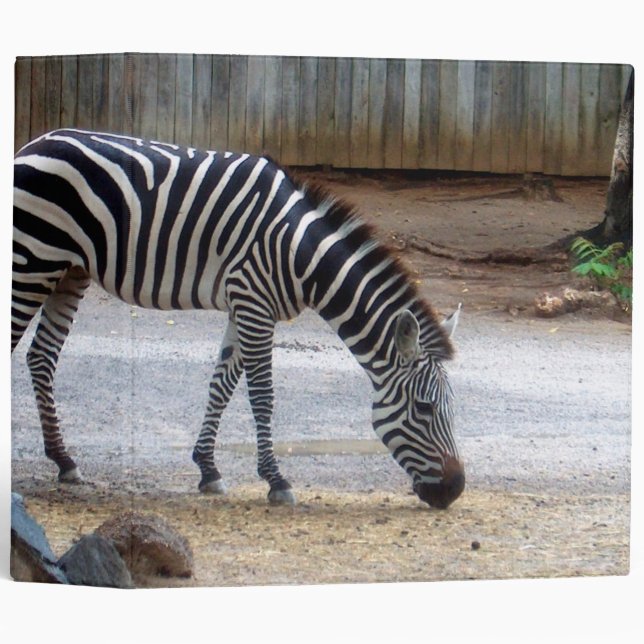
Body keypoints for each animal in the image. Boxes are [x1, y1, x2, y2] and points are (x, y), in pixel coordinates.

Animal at [12, 128, 465, 509]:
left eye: (451, 409)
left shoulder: (243, 305)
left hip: (70, 270)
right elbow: (261, 395)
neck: (300, 253)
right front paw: (276, 480)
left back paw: (64, 460)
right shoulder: (254, 304)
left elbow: (222, 385)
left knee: (42, 356)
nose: (455, 490)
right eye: (424, 409)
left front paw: (208, 468)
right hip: (34, 262)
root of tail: (34, 142)